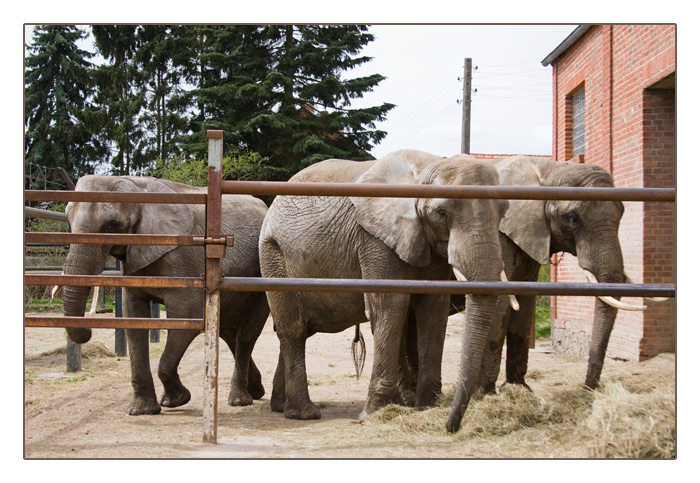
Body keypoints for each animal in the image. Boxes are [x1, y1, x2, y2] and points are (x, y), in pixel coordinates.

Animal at [63, 177, 270, 416]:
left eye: (112, 225)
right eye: (68, 219)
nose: (88, 331)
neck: (138, 186)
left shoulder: (183, 259)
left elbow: (185, 316)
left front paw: (176, 401)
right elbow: (134, 318)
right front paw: (141, 410)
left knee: (247, 334)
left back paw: (239, 400)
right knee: (228, 333)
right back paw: (257, 390)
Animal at [260, 149, 512, 422]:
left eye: (503, 212)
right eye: (442, 213)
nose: (450, 426)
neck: (429, 166)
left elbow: (433, 307)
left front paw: (425, 406)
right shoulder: (374, 239)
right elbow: (389, 305)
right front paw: (374, 413)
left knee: (300, 329)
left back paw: (280, 407)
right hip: (274, 257)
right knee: (293, 329)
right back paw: (304, 413)